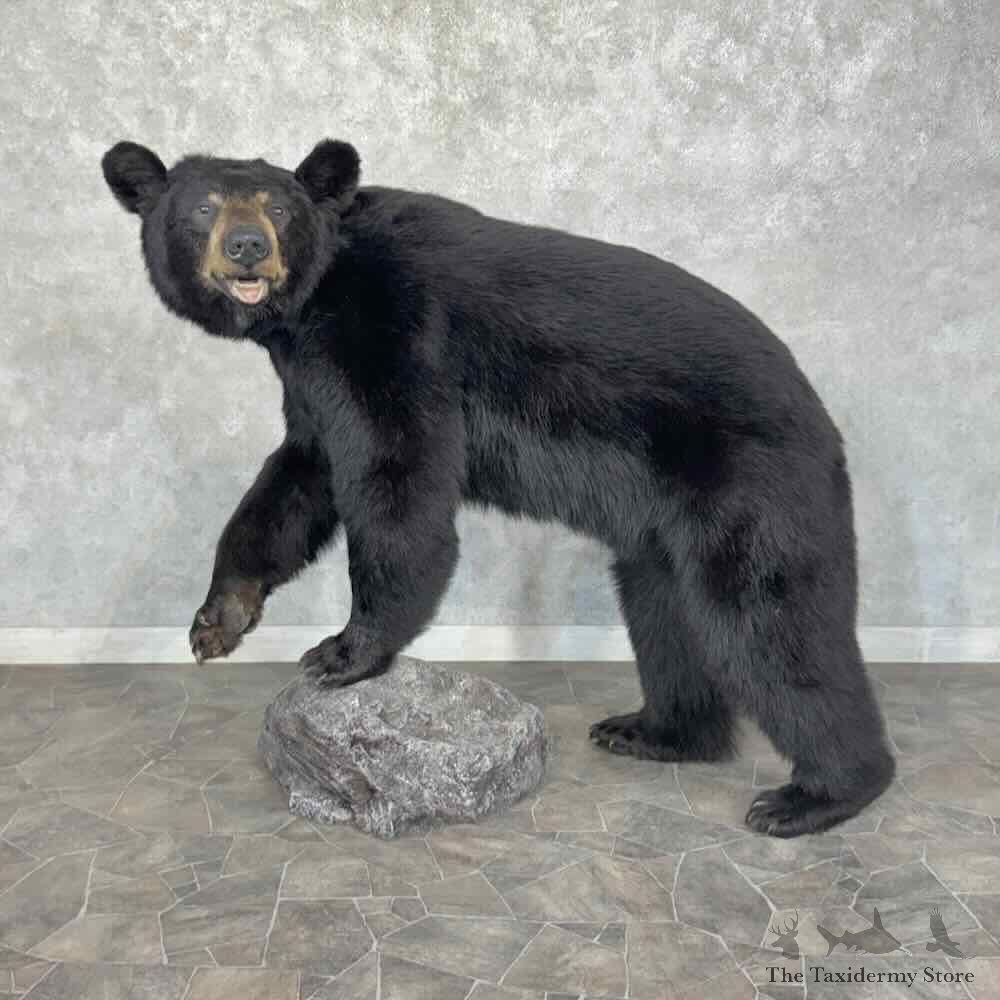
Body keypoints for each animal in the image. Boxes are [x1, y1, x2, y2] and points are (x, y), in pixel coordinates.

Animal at [102, 138, 895, 837]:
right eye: (203, 207)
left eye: (274, 206)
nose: (246, 247)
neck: (309, 306)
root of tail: (821, 416)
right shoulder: (309, 378)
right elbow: (296, 480)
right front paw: (219, 616)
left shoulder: (389, 332)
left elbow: (398, 477)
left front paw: (344, 652)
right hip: (665, 526)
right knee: (665, 612)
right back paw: (655, 730)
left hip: (749, 485)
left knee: (769, 620)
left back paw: (820, 794)